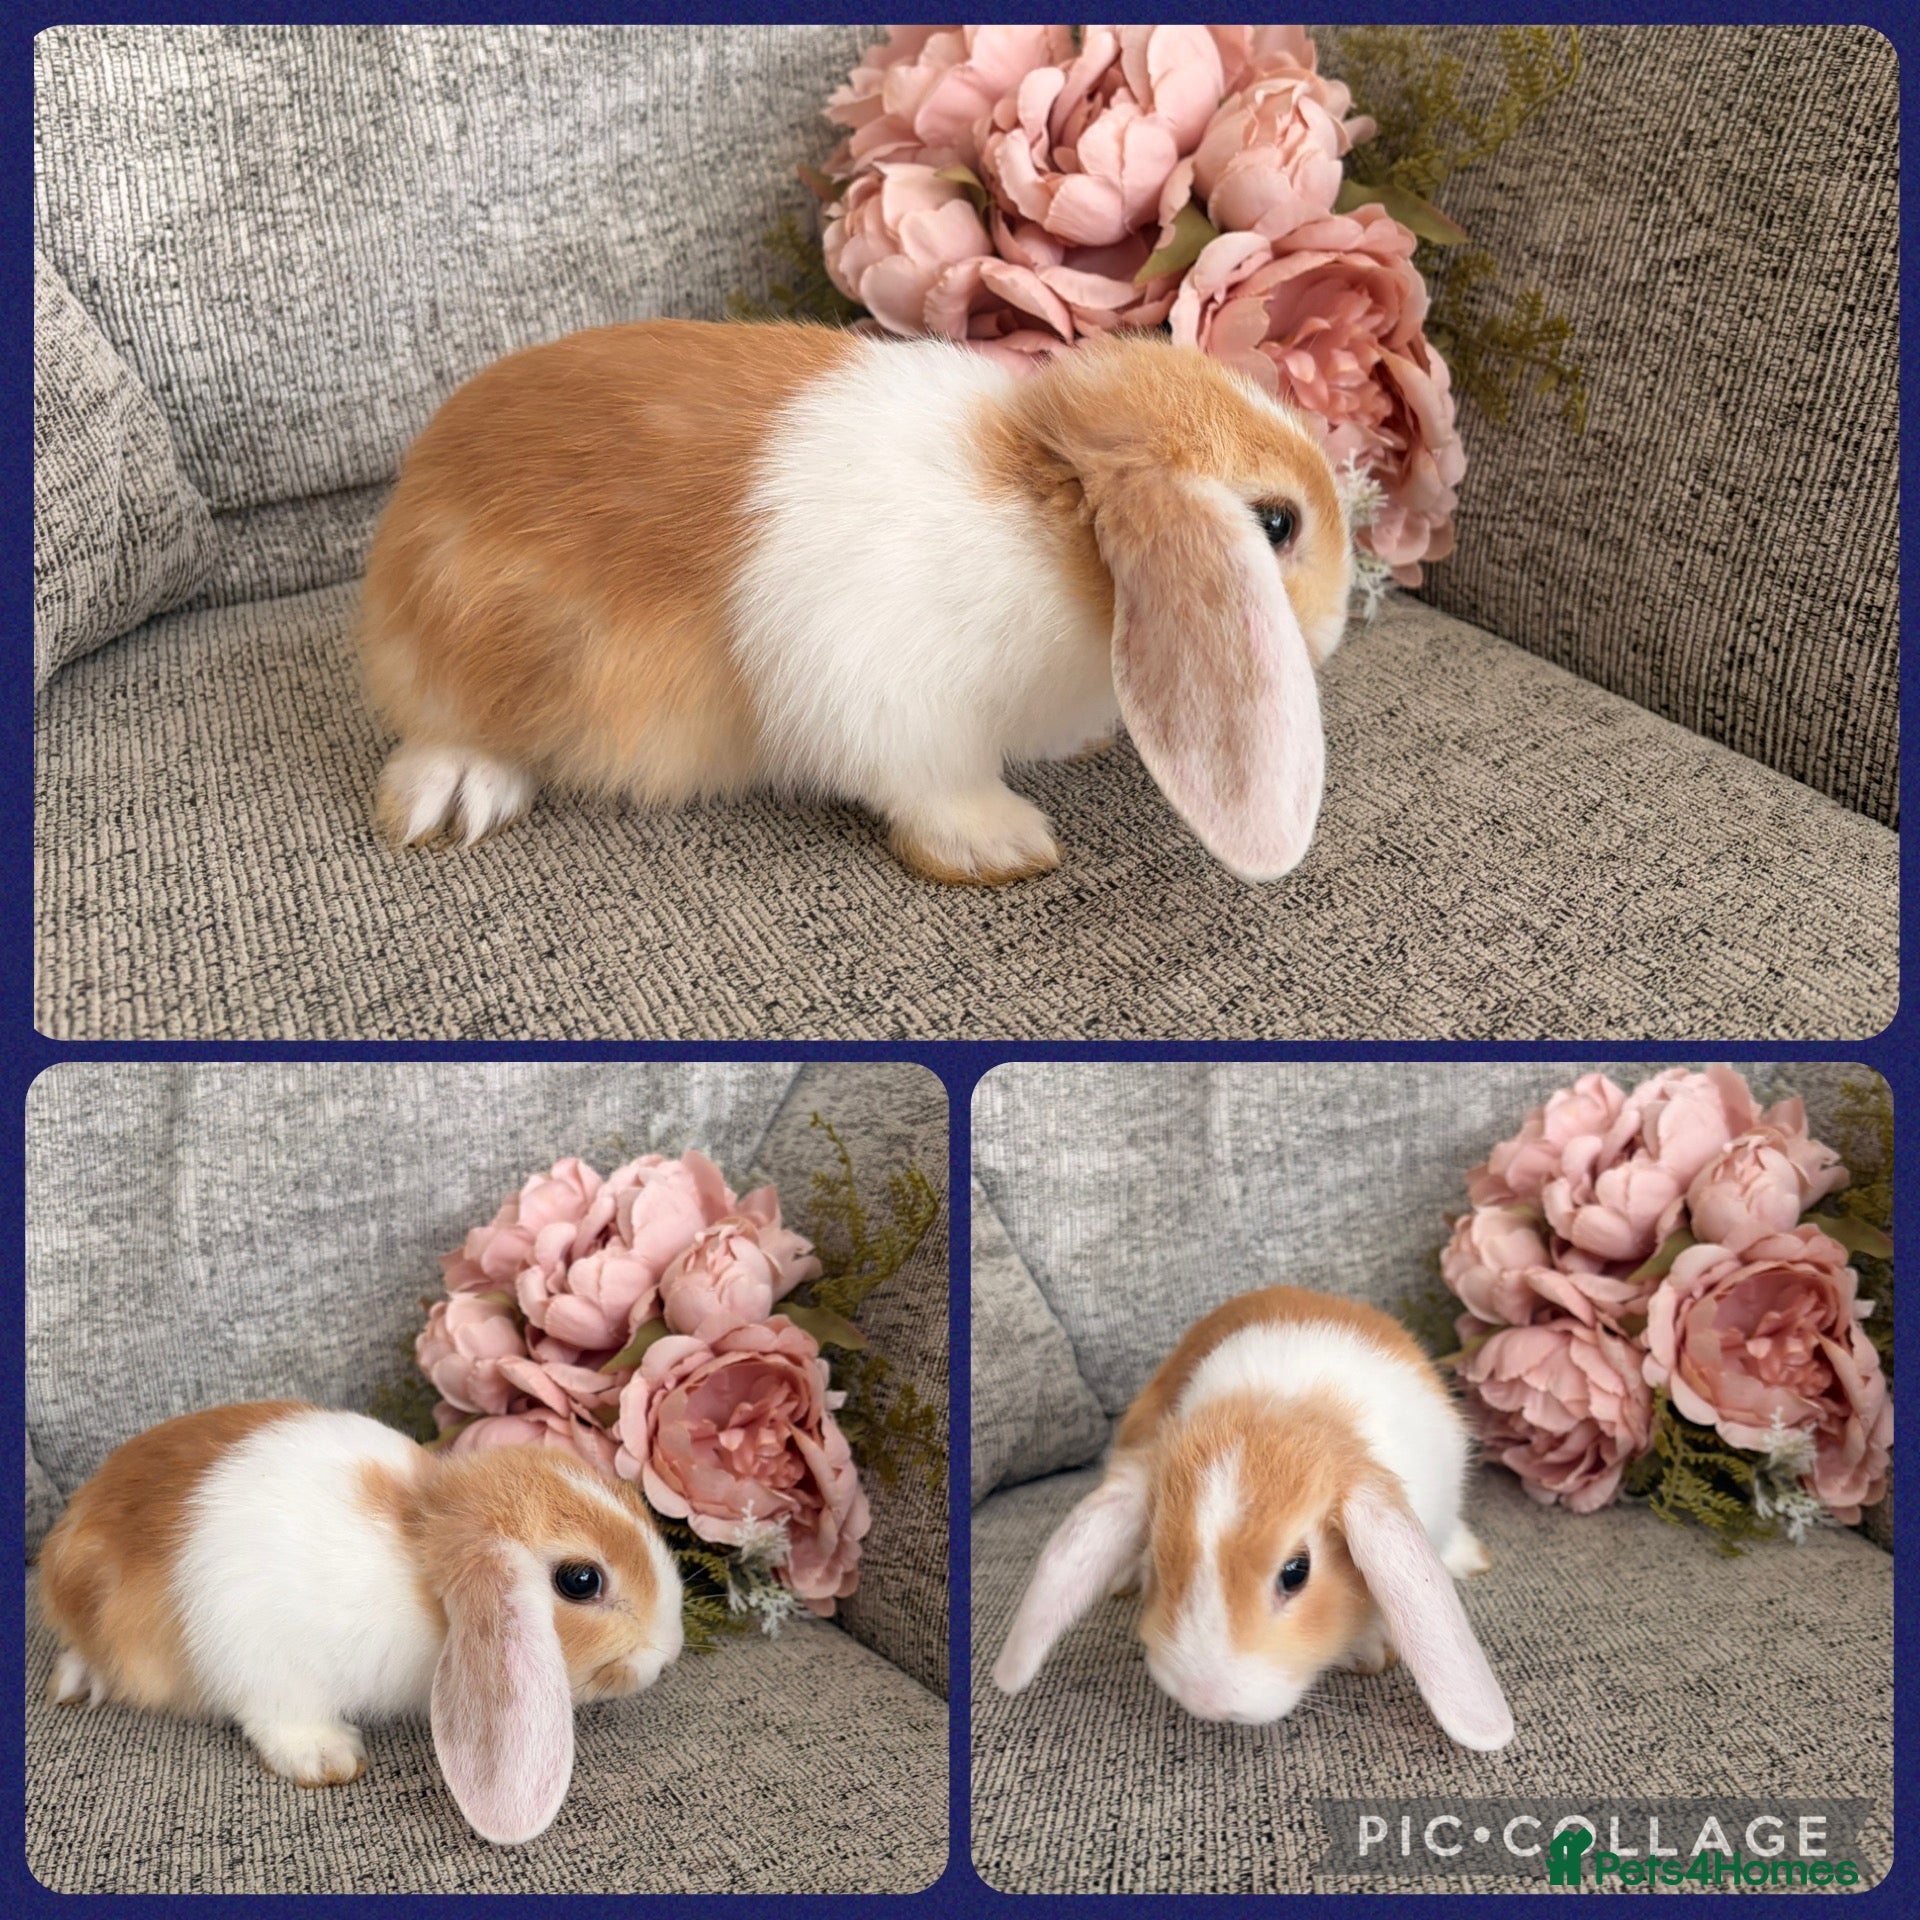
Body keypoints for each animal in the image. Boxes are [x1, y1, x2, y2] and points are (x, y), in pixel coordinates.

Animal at [36, 1402, 685, 1845]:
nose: (667, 1654)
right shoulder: (269, 1667)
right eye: (581, 1581)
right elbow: (285, 1719)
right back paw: (77, 1683)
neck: (418, 1564)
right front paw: (329, 1761)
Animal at [357, 318, 1352, 886]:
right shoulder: (899, 705)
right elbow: (935, 785)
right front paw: (1004, 847)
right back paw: (454, 798)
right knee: (447, 732)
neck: (1051, 516)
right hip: (484, 650)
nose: (1339, 624)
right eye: (1276, 524)